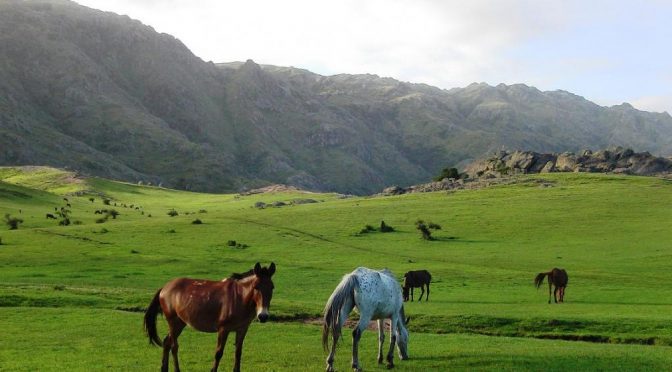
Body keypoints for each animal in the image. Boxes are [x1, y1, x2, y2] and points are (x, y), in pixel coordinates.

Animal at [144, 262, 276, 372]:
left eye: (272, 287)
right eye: (256, 287)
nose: (263, 316)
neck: (239, 297)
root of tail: (164, 288)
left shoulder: (242, 329)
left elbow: (238, 353)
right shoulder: (223, 329)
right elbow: (218, 353)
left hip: (180, 323)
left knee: (166, 342)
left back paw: (164, 368)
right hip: (173, 322)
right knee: (174, 346)